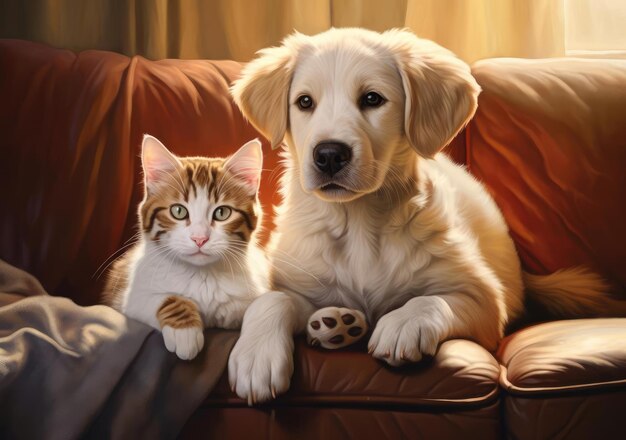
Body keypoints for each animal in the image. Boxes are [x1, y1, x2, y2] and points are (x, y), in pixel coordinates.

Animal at [105, 135, 266, 360]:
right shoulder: (127, 296)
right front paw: (185, 333)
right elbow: (159, 297)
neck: (202, 275)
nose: (200, 239)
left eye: (222, 213)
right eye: (178, 211)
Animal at [224, 28, 616, 406]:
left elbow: (429, 299)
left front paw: (403, 324)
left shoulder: (486, 299)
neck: (358, 221)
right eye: (305, 102)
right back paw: (335, 324)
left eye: (372, 99)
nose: (329, 155)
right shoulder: (297, 281)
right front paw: (256, 356)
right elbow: (270, 300)